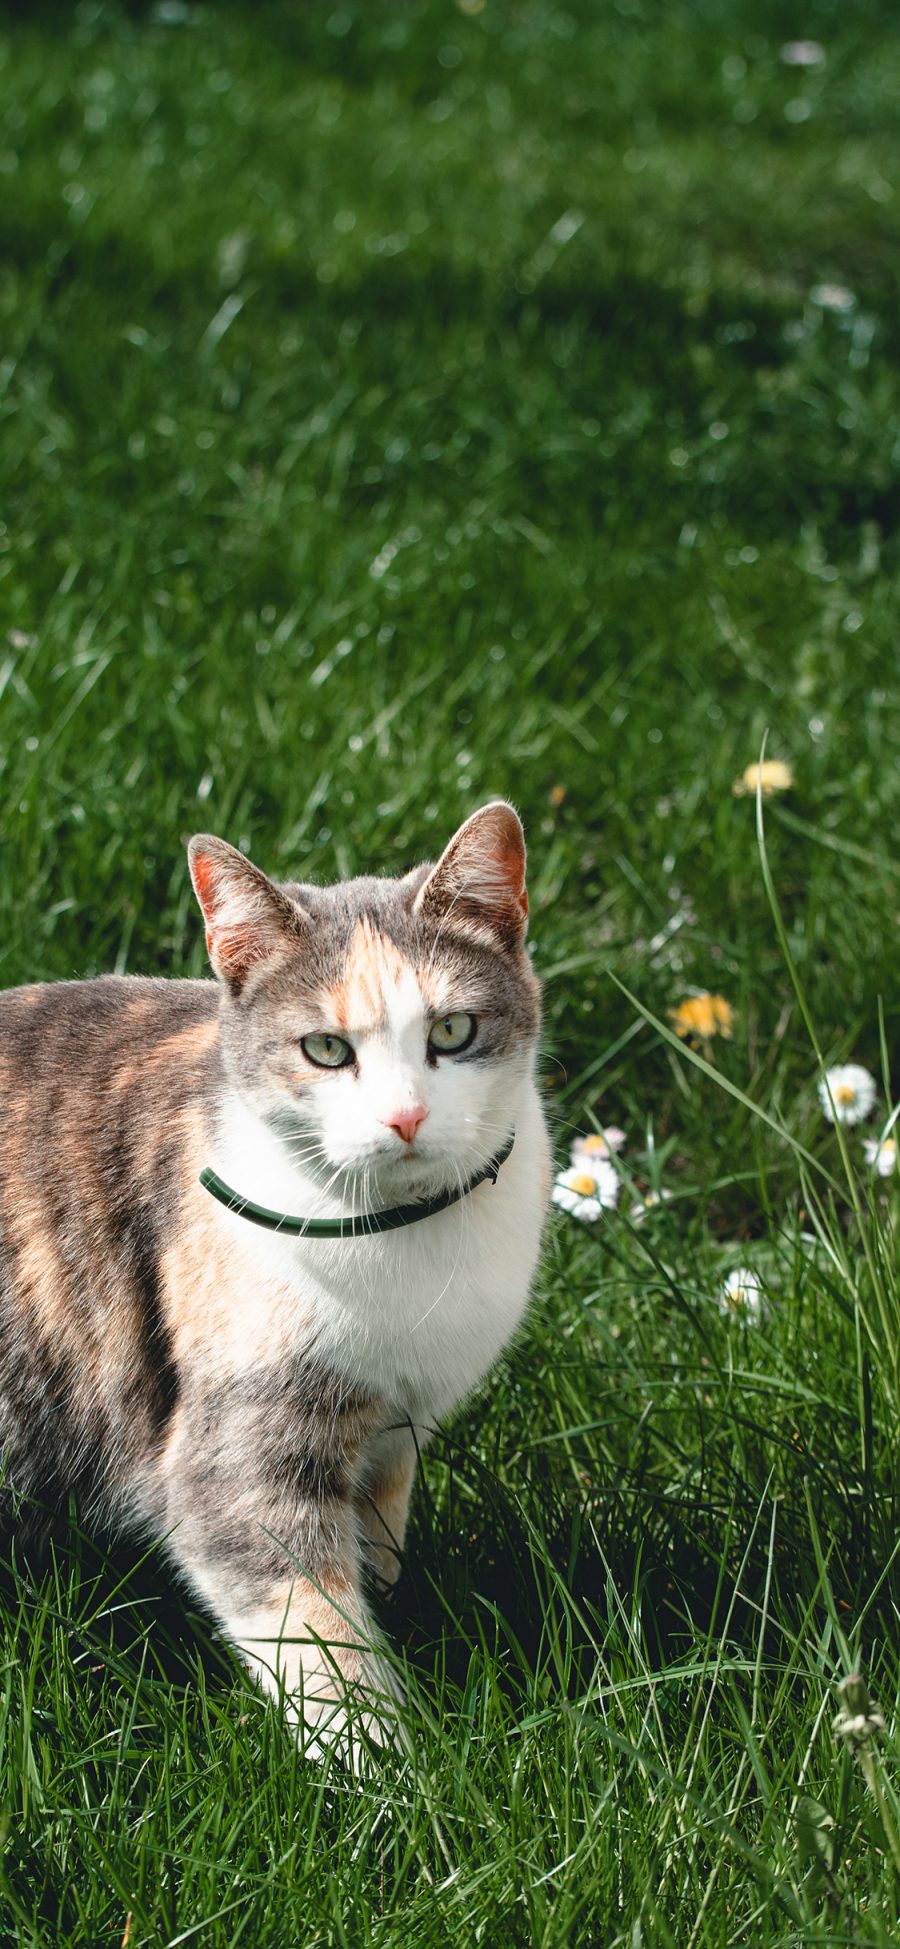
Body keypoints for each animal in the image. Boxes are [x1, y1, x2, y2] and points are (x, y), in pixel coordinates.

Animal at [0, 791, 549, 1754]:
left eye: (453, 1030)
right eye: (326, 1048)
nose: (405, 1116)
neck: (408, 1237)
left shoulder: (392, 1435)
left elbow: (379, 1551)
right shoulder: (242, 1449)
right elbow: (319, 1639)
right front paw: (395, 1772)